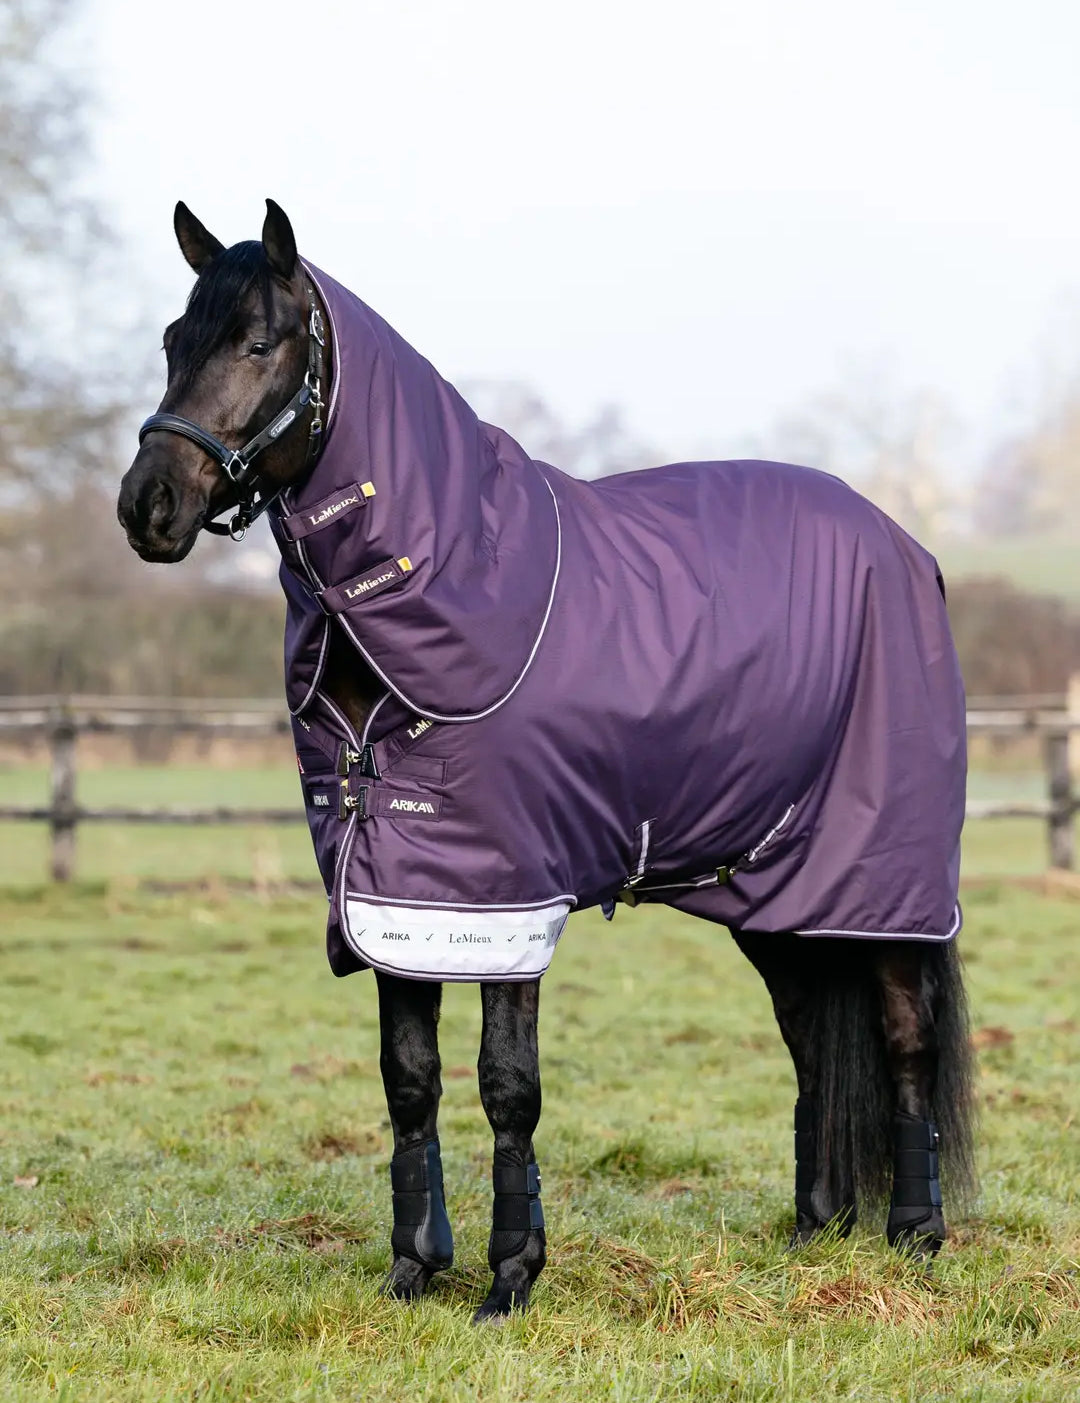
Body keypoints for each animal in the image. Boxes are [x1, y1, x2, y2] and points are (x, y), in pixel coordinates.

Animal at [117, 200, 975, 1322]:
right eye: (174, 341)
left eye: (260, 343)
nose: (147, 506)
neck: (453, 581)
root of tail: (910, 549)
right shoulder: (392, 886)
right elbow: (408, 1077)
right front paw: (413, 1268)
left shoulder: (506, 896)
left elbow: (506, 1084)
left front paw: (509, 1276)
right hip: (783, 893)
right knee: (808, 1036)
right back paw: (814, 1227)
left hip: (888, 883)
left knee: (907, 1032)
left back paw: (917, 1234)